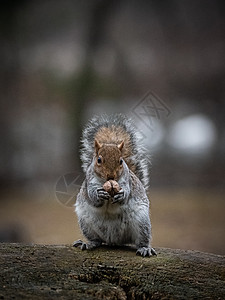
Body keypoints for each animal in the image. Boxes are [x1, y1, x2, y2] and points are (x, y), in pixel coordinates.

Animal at [74, 113, 156, 256]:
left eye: (121, 161)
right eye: (99, 160)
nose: (111, 176)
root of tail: (114, 240)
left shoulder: (127, 182)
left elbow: (127, 193)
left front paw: (122, 195)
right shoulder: (90, 182)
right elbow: (92, 197)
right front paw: (99, 194)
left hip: (141, 223)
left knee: (141, 240)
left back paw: (145, 248)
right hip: (86, 224)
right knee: (97, 240)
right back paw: (89, 243)